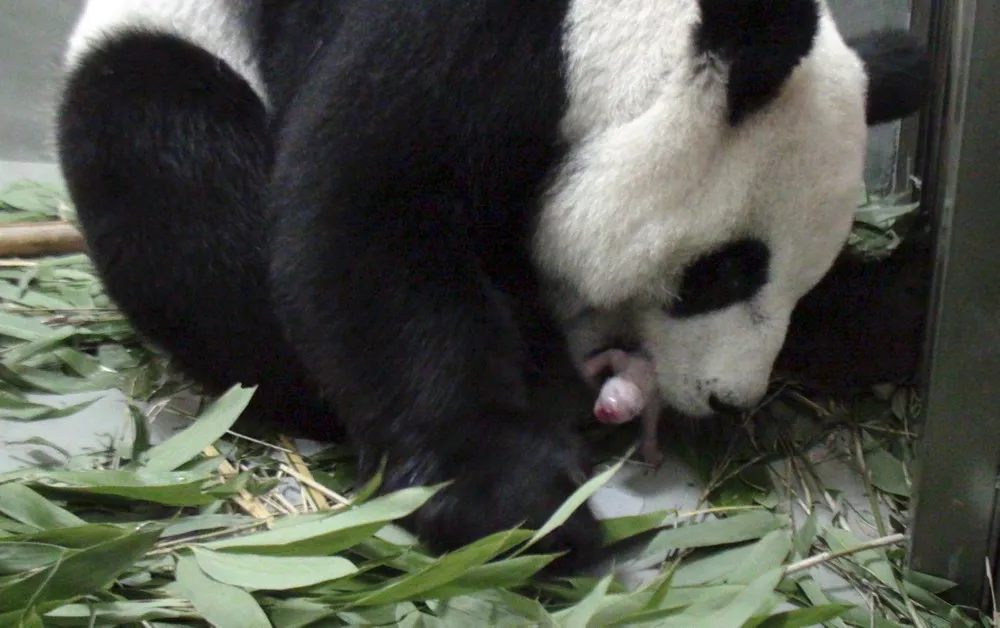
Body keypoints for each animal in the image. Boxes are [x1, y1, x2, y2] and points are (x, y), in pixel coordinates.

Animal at [55, 0, 929, 572]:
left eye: (798, 279)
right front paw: (519, 499)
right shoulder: (458, 43)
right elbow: (368, 219)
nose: (727, 397)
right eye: (723, 270)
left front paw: (890, 306)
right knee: (178, 168)